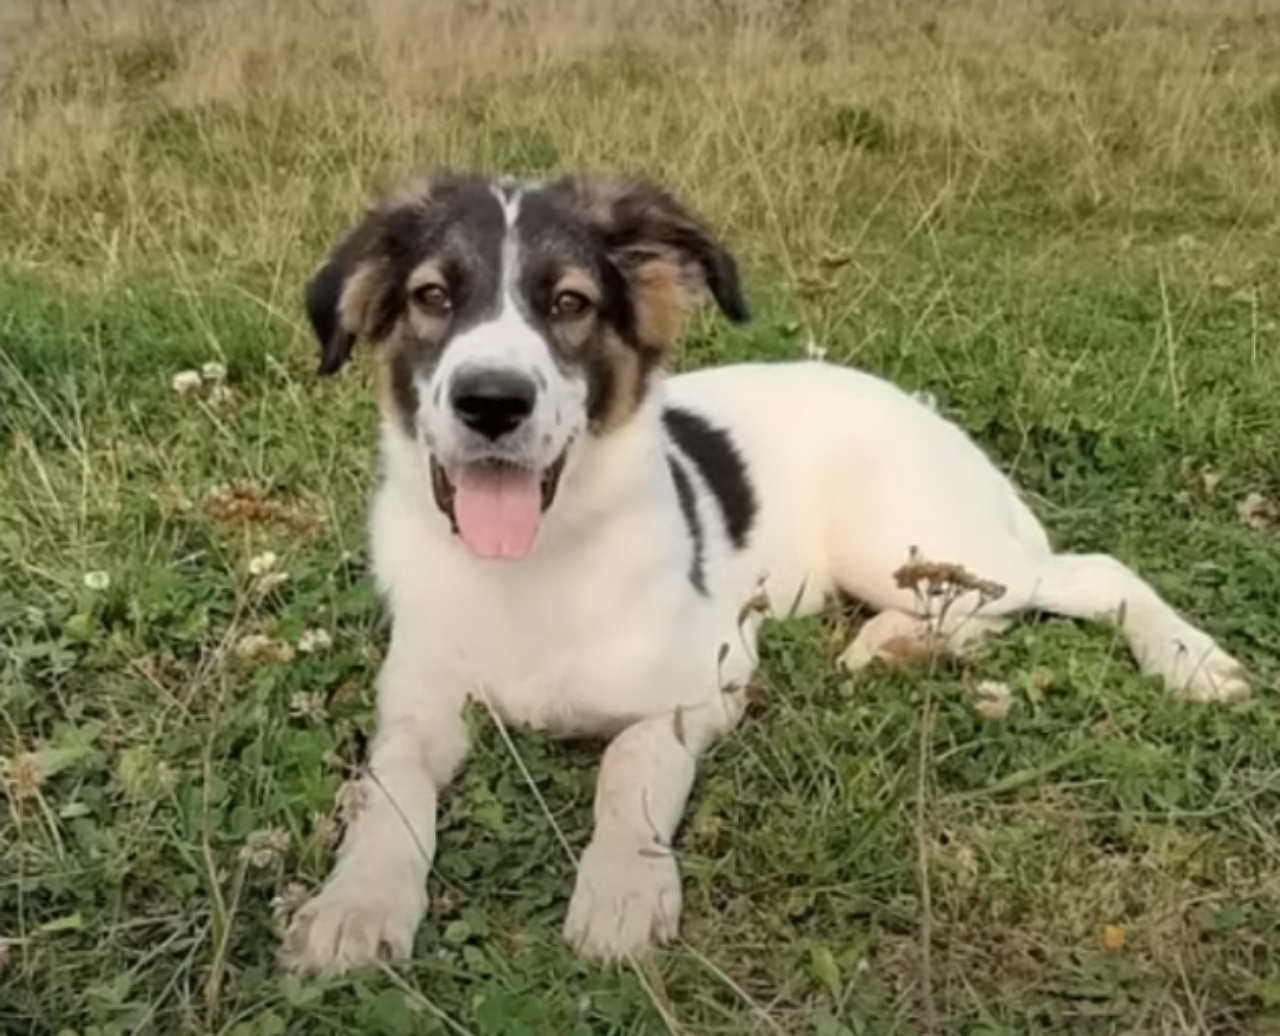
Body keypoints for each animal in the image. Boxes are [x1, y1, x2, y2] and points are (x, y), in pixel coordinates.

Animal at [280, 171, 1249, 978]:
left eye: (569, 303)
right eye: (432, 297)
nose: (491, 403)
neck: (532, 568)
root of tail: (925, 411)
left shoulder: (709, 679)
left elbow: (628, 762)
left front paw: (624, 886)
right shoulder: (416, 708)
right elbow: (387, 790)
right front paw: (357, 904)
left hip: (901, 542)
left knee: (1080, 573)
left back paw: (1191, 661)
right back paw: (892, 646)